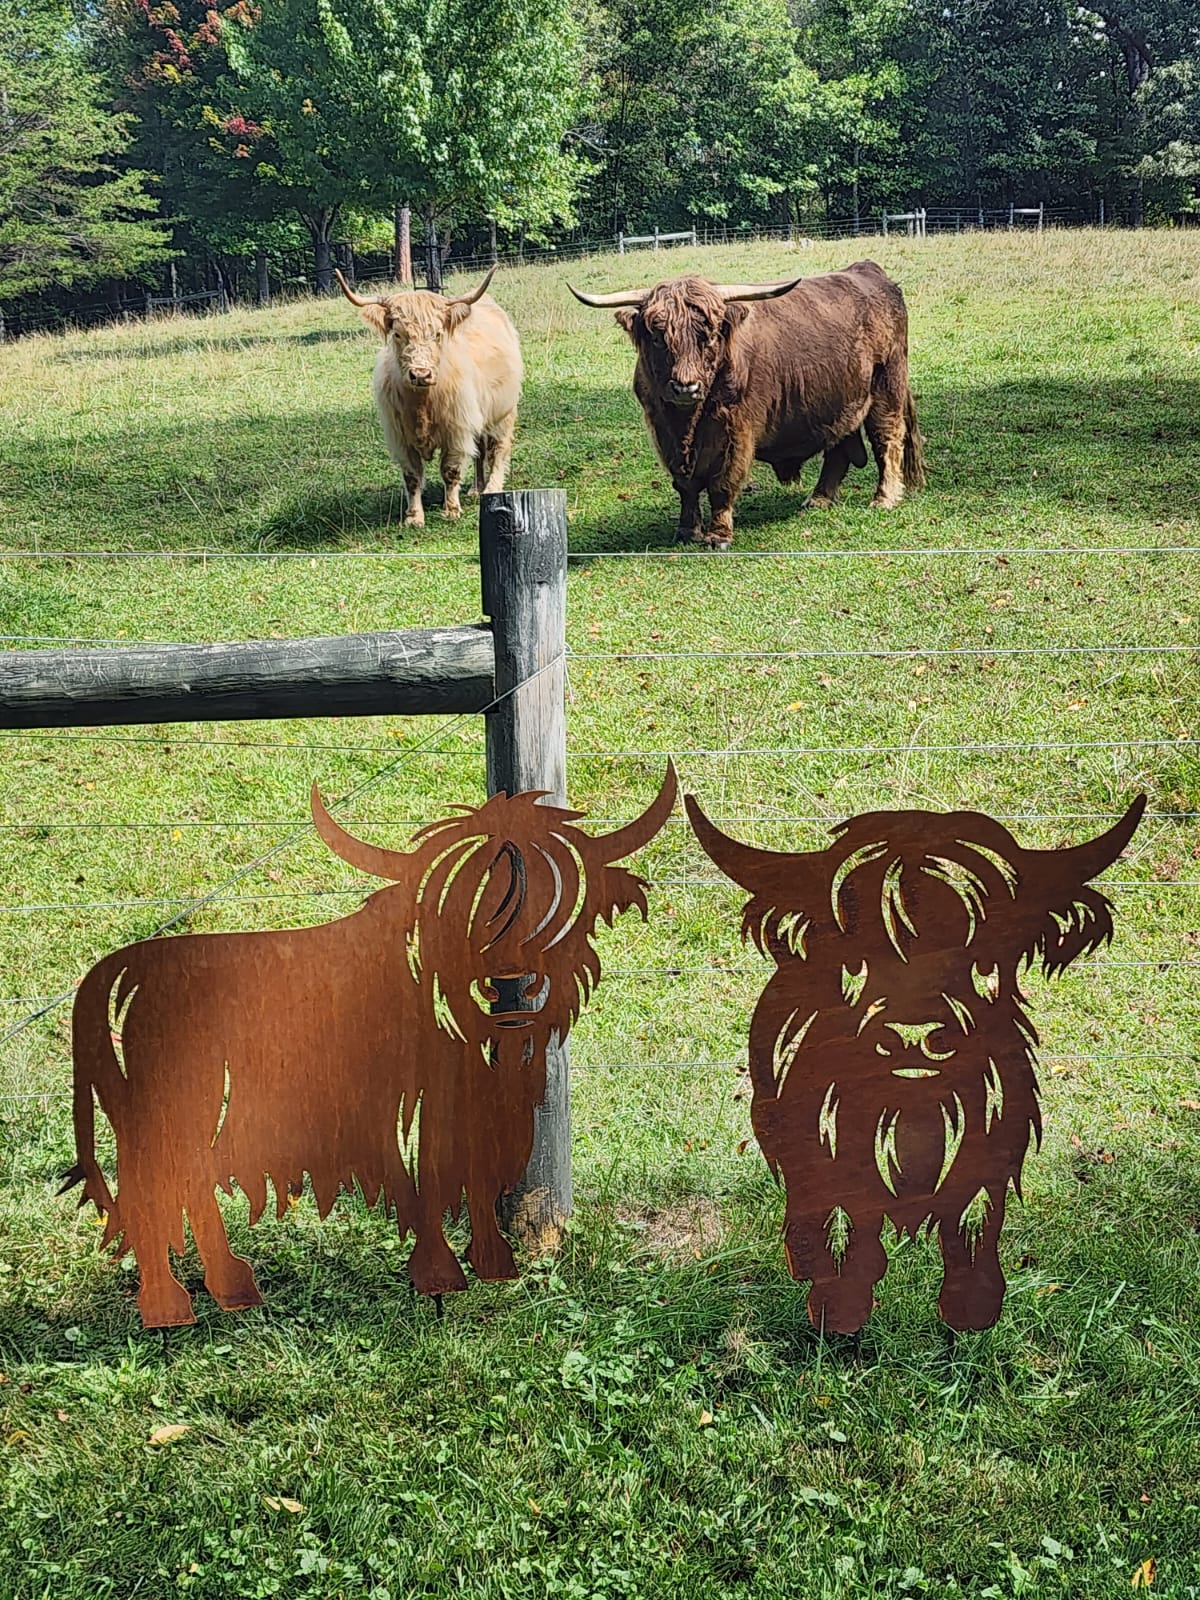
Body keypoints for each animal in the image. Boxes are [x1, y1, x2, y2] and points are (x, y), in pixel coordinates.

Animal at [62, 768, 676, 1327]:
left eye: (560, 895)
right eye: (460, 903)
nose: (509, 985)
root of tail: (125, 967)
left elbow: (471, 1174)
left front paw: (493, 1262)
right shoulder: (408, 1099)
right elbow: (426, 1173)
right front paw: (439, 1272)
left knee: (182, 1187)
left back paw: (228, 1285)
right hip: (183, 1109)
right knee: (161, 1187)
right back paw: (173, 1303)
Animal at [336, 267, 522, 530]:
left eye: (437, 333)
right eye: (397, 334)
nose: (420, 374)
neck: (422, 403)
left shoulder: (457, 430)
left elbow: (450, 470)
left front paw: (451, 510)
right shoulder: (401, 437)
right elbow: (412, 477)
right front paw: (414, 517)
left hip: (503, 413)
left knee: (498, 449)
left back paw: (491, 489)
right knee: (480, 450)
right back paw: (476, 489)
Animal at [569, 263, 923, 549]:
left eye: (709, 335)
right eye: (657, 337)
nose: (686, 386)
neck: (687, 423)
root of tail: (870, 272)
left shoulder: (736, 431)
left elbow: (722, 484)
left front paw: (718, 536)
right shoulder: (661, 429)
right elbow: (684, 485)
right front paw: (686, 531)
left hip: (887, 386)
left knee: (887, 439)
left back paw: (884, 498)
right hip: (839, 400)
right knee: (838, 449)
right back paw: (818, 499)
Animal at [685, 793, 1145, 1332]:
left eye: (985, 959)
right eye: (853, 960)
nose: (913, 1038)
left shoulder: (990, 1151)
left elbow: (973, 1225)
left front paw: (972, 1310)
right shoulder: (830, 1156)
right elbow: (848, 1221)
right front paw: (841, 1306)